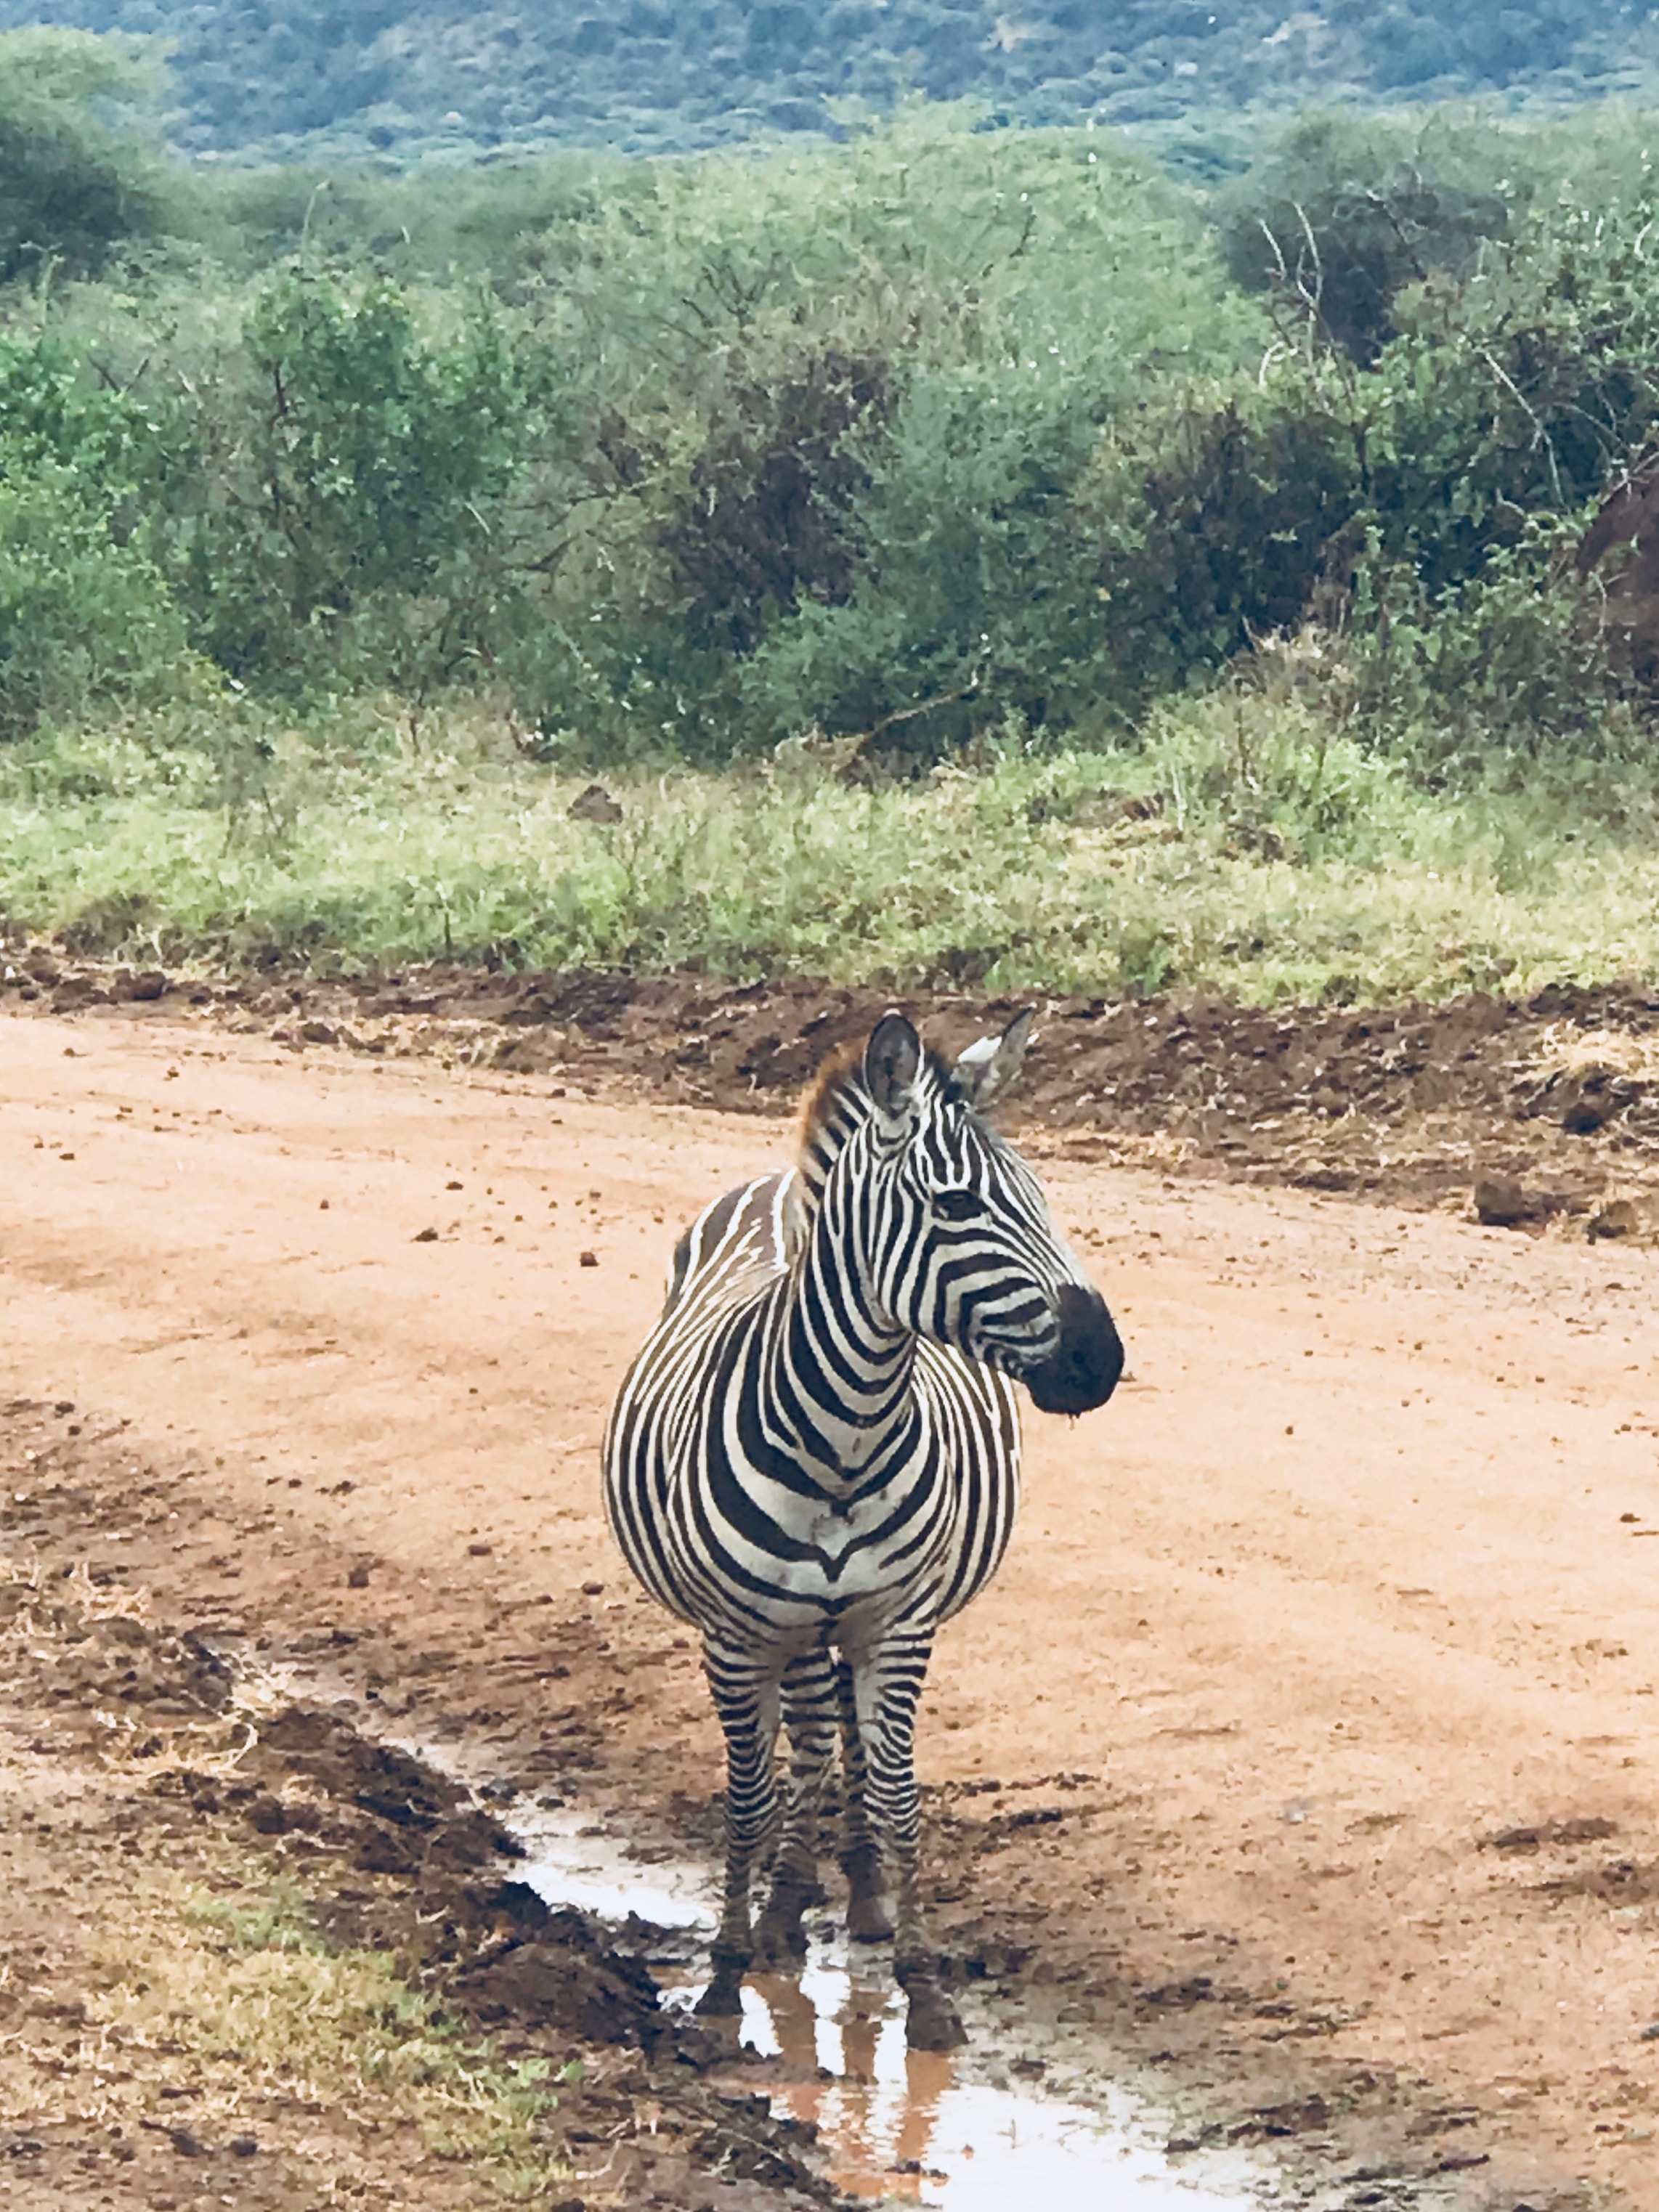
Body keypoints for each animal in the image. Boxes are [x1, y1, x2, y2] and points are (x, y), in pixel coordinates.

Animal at [606, 1013, 1124, 2044]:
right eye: (956, 1204)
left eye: (1042, 1197)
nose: (1102, 1358)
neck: (845, 1434)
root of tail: (775, 1186)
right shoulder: (736, 1636)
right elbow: (748, 1794)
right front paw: (724, 1976)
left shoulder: (897, 1623)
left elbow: (896, 1792)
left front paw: (923, 1985)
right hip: (791, 1628)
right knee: (805, 1741)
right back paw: (783, 1908)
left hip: (839, 1623)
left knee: (831, 1733)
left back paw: (854, 1894)